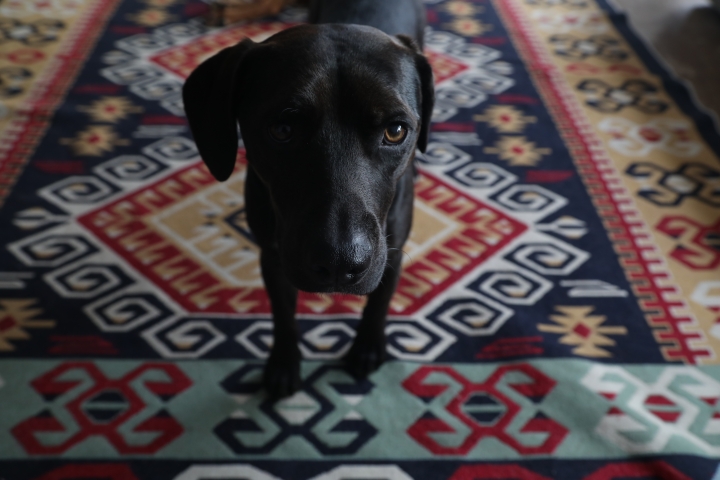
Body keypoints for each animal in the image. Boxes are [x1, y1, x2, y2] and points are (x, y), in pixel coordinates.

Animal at [183, 0, 436, 398]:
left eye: (395, 131)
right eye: (282, 130)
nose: (339, 262)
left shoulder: (393, 251)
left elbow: (379, 302)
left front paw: (367, 347)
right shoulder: (273, 256)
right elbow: (283, 315)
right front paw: (284, 365)